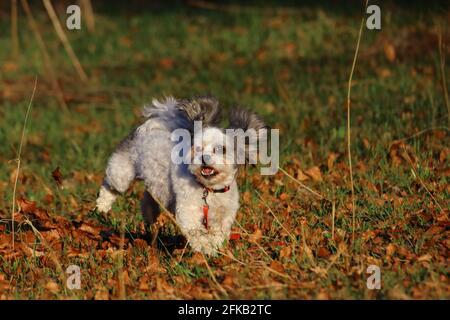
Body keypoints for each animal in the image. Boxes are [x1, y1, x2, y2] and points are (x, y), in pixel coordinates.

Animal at [96, 95, 266, 255]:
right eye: (198, 148)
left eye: (221, 149)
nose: (204, 158)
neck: (208, 189)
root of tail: (153, 126)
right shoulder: (188, 209)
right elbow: (196, 231)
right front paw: (205, 248)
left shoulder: (224, 214)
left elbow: (219, 232)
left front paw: (215, 246)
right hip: (121, 173)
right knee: (110, 185)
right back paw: (102, 206)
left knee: (147, 201)